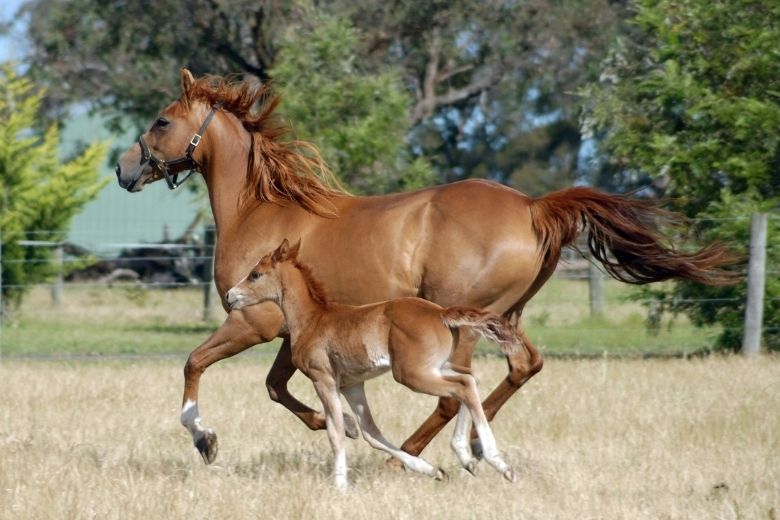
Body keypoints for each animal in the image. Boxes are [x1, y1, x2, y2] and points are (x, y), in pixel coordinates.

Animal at [225, 240, 520, 488]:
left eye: (255, 274)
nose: (230, 296)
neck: (313, 320)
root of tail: (441, 313)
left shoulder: (323, 379)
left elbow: (336, 432)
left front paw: (340, 485)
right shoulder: (352, 385)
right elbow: (370, 432)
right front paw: (431, 470)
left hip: (410, 374)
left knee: (462, 386)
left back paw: (498, 463)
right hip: (435, 367)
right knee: (470, 380)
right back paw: (468, 456)